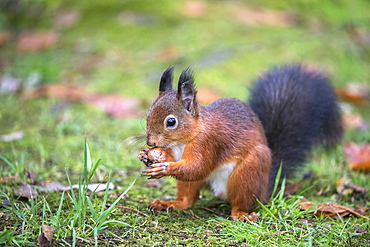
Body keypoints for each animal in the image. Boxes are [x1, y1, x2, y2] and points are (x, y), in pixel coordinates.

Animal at [139, 65, 344, 220]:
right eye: (148, 114)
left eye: (171, 122)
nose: (150, 142)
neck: (184, 140)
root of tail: (266, 187)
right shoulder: (175, 150)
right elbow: (178, 161)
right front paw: (149, 156)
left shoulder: (209, 142)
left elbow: (197, 167)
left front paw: (164, 168)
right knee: (188, 199)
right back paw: (169, 203)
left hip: (249, 172)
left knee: (240, 202)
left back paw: (242, 214)